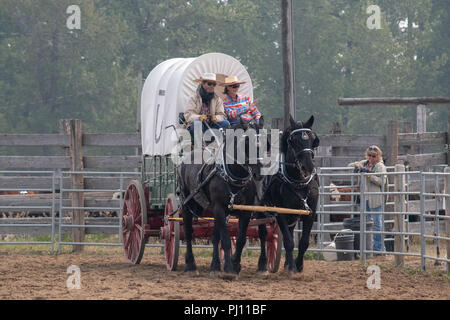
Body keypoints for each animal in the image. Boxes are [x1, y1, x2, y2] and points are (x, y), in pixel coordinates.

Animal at [178, 117, 264, 278]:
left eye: (265, 140)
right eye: (246, 141)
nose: (258, 173)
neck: (233, 177)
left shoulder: (245, 212)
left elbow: (240, 239)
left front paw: (235, 264)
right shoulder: (219, 208)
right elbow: (225, 240)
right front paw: (229, 269)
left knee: (214, 236)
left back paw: (215, 266)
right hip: (187, 204)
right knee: (188, 232)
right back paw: (191, 264)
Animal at [258, 115, 318, 276]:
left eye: (312, 139)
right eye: (293, 140)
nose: (308, 167)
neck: (298, 182)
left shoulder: (310, 213)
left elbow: (303, 242)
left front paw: (298, 265)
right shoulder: (281, 213)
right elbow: (289, 241)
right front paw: (292, 268)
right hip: (259, 210)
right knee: (262, 234)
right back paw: (263, 263)